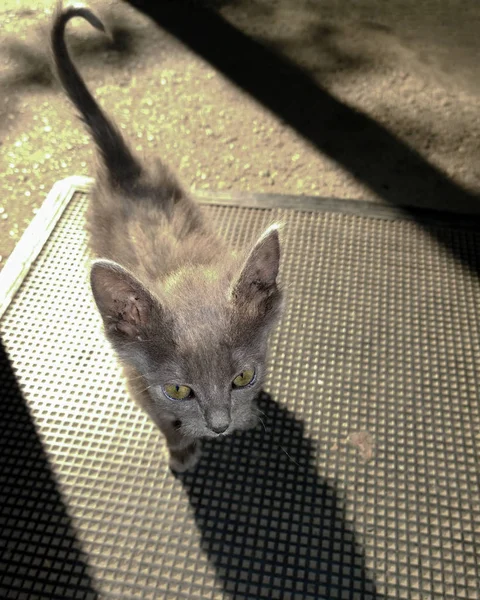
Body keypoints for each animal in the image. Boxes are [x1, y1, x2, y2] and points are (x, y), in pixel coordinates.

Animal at [52, 5, 284, 474]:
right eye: (178, 390)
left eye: (242, 378)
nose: (220, 427)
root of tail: (125, 172)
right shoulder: (137, 383)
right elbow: (162, 421)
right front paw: (180, 450)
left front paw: (249, 413)